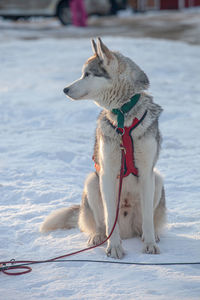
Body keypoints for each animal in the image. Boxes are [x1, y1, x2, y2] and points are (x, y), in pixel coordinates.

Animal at [40, 37, 166, 258]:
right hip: (92, 181)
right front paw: (114, 246)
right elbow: (109, 218)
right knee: (101, 224)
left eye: (87, 74)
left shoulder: (147, 172)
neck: (124, 116)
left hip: (157, 179)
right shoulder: (106, 173)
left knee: (144, 222)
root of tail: (128, 230)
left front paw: (150, 244)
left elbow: (148, 219)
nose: (65, 89)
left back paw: (147, 236)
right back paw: (98, 237)